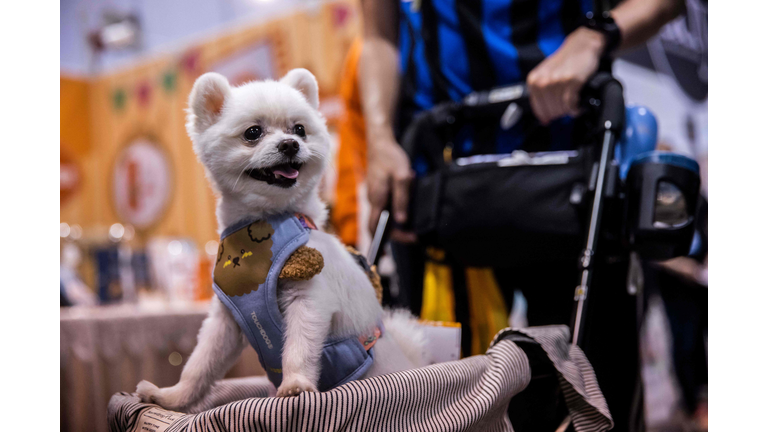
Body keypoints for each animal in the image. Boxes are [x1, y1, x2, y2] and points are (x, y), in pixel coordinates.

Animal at [136, 69, 426, 410]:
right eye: (253, 133)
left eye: (299, 129)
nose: (290, 144)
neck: (267, 221)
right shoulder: (225, 320)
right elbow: (200, 364)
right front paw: (171, 398)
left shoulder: (308, 297)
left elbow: (298, 349)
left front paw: (296, 386)